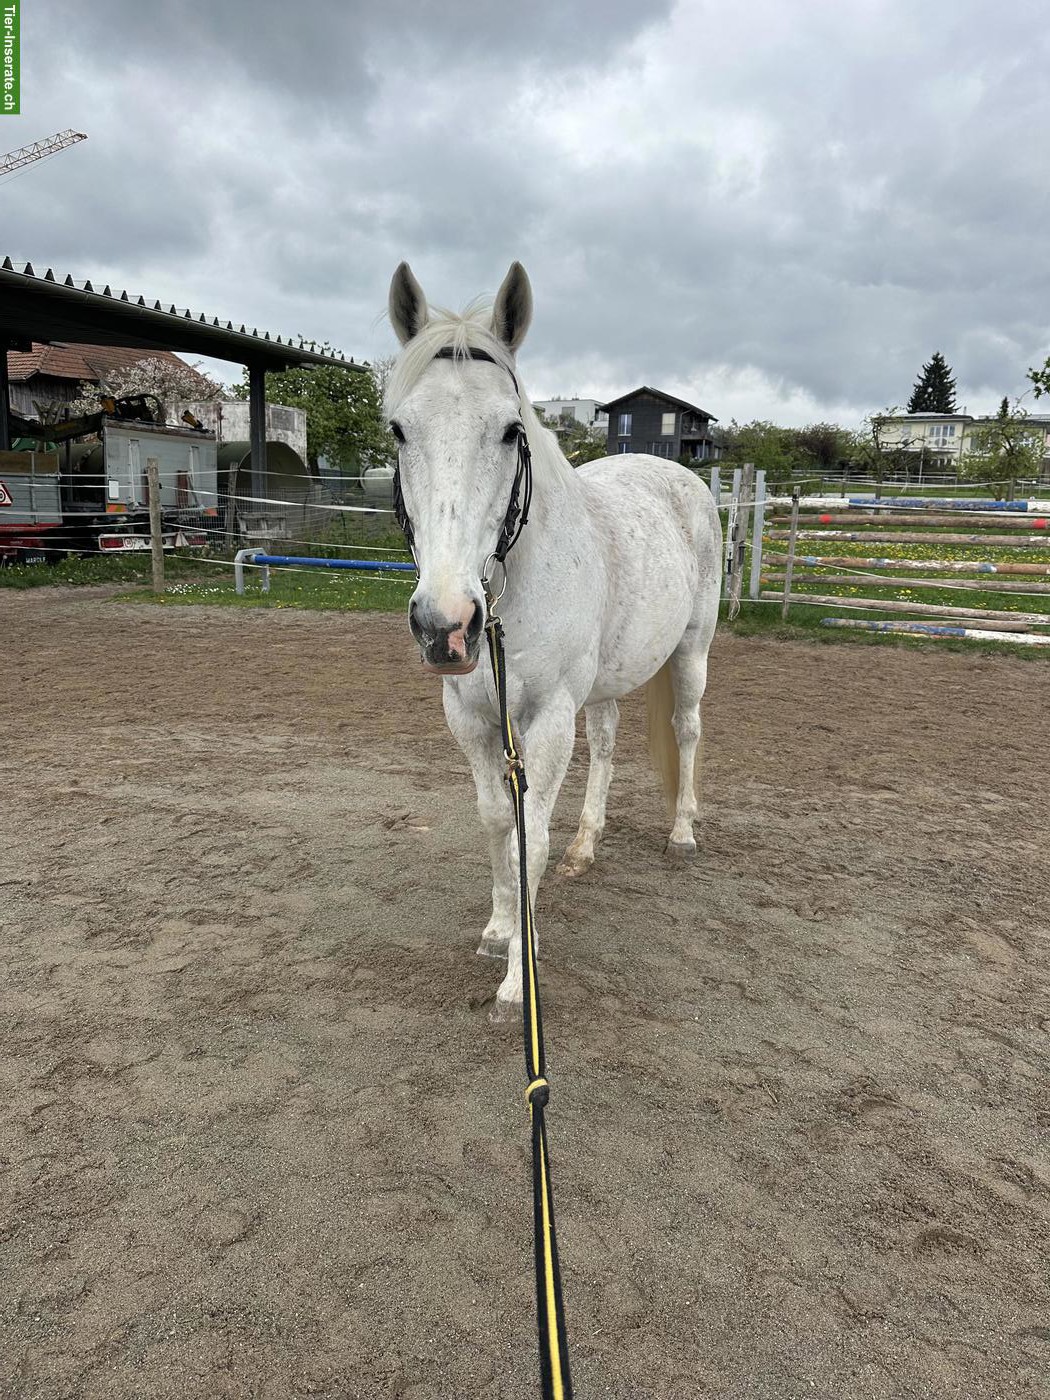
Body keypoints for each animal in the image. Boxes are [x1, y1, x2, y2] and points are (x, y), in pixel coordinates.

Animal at [385, 261, 723, 1021]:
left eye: (513, 430)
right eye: (398, 430)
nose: (444, 625)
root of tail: (681, 476)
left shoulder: (545, 722)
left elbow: (529, 837)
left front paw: (519, 977)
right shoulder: (472, 719)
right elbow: (495, 826)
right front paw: (499, 929)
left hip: (691, 654)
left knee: (687, 731)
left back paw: (683, 833)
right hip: (602, 687)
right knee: (607, 744)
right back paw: (586, 847)